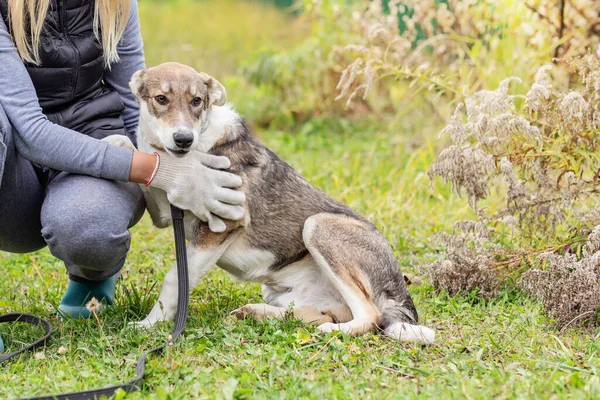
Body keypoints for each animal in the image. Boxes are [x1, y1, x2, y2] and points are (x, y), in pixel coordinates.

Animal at [105, 62, 434, 344]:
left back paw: (332, 331)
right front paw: (113, 145)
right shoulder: (164, 209)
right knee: (312, 314)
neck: (195, 149)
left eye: (197, 101)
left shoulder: (220, 226)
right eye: (161, 99)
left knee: (368, 316)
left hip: (318, 226)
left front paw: (149, 324)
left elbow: (175, 279)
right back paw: (257, 313)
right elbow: (146, 158)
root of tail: (399, 290)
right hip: (281, 291)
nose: (183, 139)